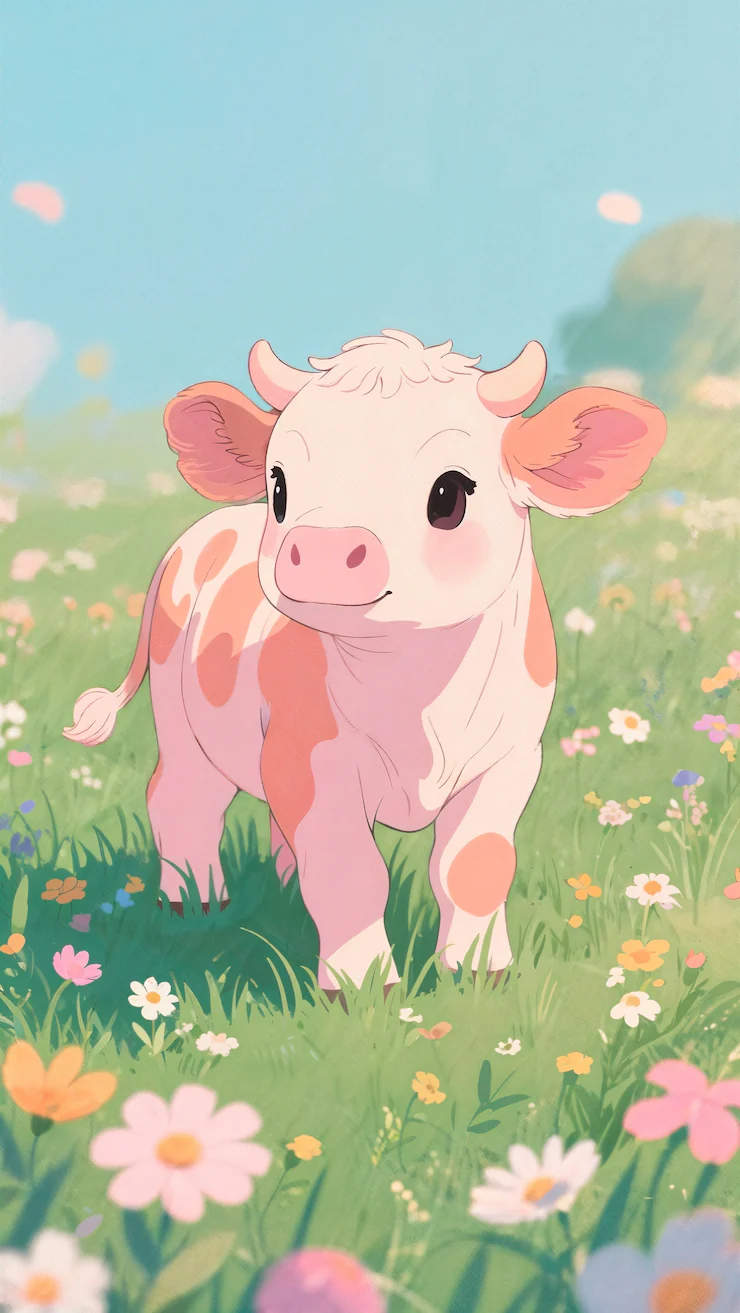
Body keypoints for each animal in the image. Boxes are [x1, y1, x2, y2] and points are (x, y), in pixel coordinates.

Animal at [64, 330, 665, 992]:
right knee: (181, 798)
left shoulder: (508, 758)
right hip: (182, 721)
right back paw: (194, 900)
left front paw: (478, 969)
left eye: (449, 494)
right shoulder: (311, 758)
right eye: (278, 486)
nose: (323, 551)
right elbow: (347, 870)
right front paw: (361, 984)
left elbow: (472, 865)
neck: (416, 692)